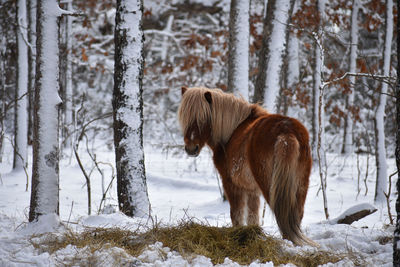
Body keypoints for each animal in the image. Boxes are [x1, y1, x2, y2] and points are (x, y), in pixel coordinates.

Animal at [179, 87, 316, 246]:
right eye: (185, 118)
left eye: (204, 118)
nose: (191, 149)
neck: (232, 131)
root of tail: (287, 133)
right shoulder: (252, 190)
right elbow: (253, 216)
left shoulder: (231, 185)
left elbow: (236, 215)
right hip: (300, 186)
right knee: (297, 217)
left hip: (271, 187)